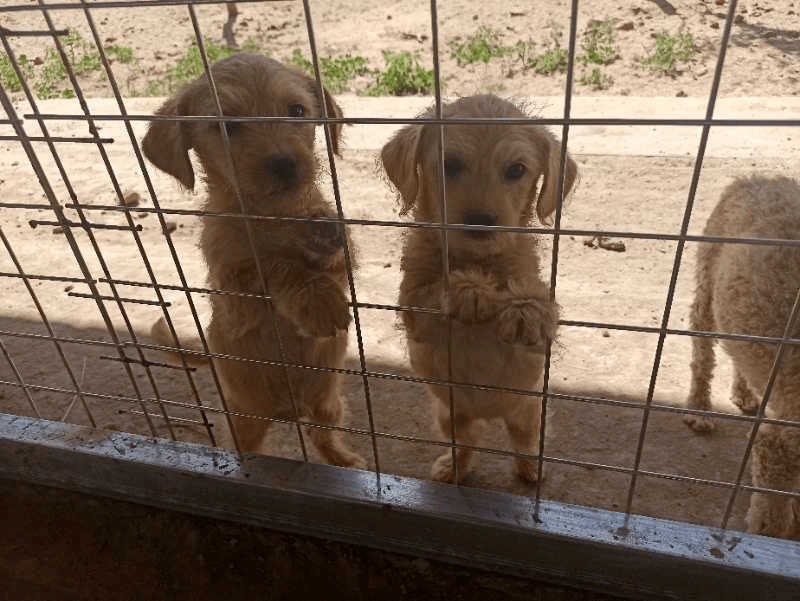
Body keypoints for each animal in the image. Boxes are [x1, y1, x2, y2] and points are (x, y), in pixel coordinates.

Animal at [143, 52, 366, 468]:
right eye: (227, 125)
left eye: (297, 111)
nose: (284, 164)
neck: (272, 215)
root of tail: (289, 411)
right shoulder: (233, 293)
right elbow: (275, 268)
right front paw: (316, 301)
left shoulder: (346, 263)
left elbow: (334, 254)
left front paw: (320, 231)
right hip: (244, 416)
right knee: (247, 443)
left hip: (329, 404)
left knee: (322, 434)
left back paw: (346, 460)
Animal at [380, 94, 576, 482]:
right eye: (450, 164)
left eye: (516, 170)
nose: (481, 223)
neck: (479, 260)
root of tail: (490, 414)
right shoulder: (410, 307)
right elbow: (428, 293)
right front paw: (467, 290)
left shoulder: (536, 348)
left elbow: (543, 302)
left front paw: (526, 308)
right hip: (450, 415)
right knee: (467, 444)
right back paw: (453, 468)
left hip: (528, 410)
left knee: (525, 442)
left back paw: (531, 469)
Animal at [680, 175, 800, 540]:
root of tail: (756, 179)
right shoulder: (783, 442)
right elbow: (774, 514)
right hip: (707, 284)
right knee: (702, 355)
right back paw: (699, 408)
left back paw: (744, 393)